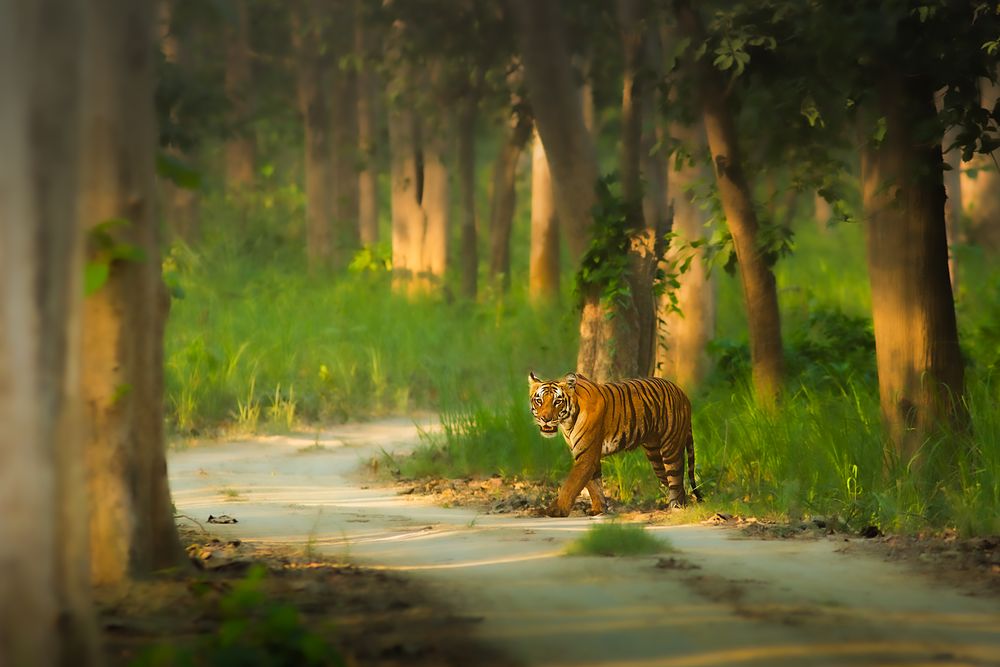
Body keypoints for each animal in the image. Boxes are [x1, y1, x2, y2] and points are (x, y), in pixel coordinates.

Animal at [528, 371, 701, 517]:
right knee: (676, 484)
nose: (545, 419)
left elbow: (570, 485)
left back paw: (676, 508)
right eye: (539, 401)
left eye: (557, 401)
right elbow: (594, 485)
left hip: (670, 449)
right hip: (655, 456)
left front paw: (556, 510)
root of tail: (683, 394)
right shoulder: (586, 455)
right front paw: (598, 509)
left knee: (676, 480)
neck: (567, 422)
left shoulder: (586, 455)